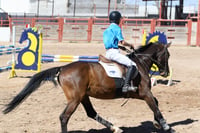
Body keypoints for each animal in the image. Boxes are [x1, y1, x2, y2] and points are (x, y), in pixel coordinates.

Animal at [2, 41, 174, 133]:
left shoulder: (138, 94)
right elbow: (155, 106)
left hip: (83, 96)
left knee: (91, 113)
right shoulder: (144, 93)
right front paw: (166, 126)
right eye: (167, 55)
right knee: (64, 117)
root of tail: (63, 68)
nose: (165, 73)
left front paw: (157, 124)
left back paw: (115, 128)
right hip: (75, 99)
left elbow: (156, 103)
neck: (139, 63)